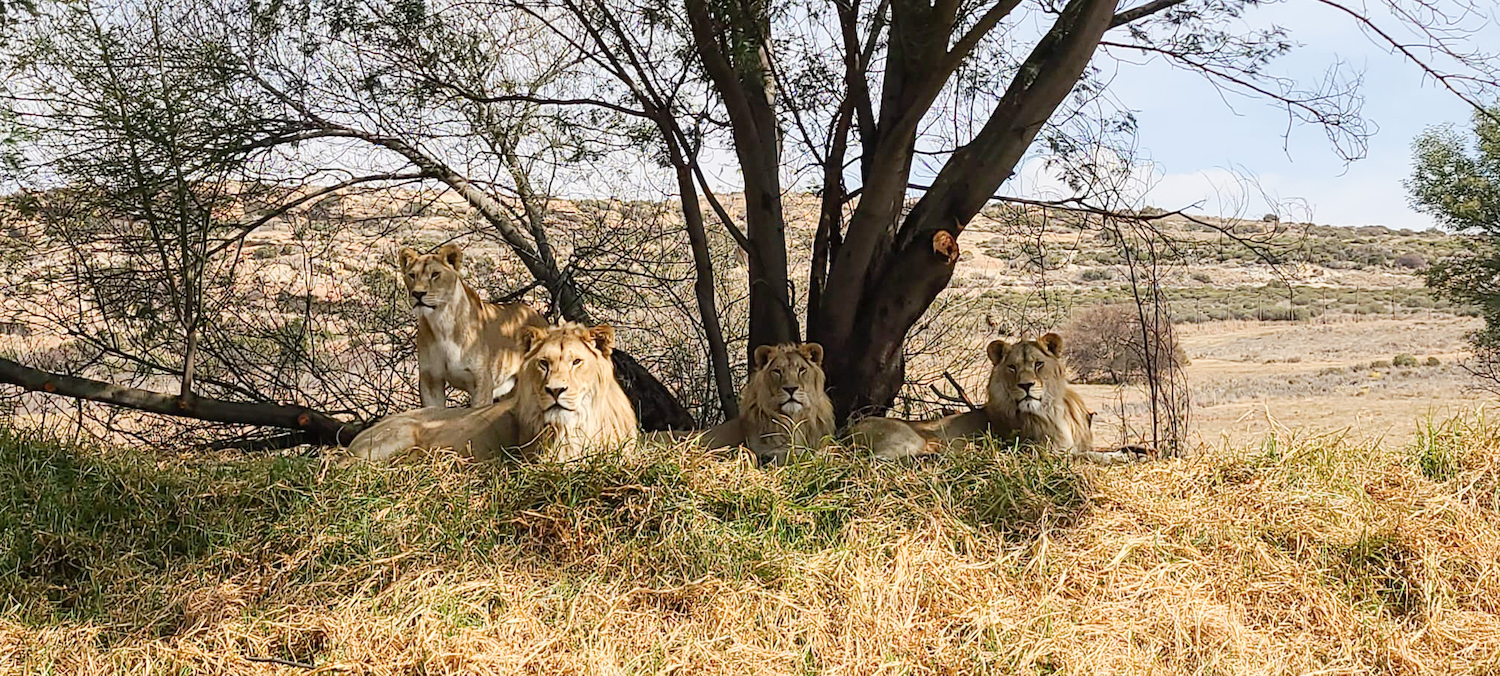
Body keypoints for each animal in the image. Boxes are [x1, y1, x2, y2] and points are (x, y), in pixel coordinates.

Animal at [400, 243, 547, 408]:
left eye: (435, 274)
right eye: (412, 275)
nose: (417, 294)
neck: (441, 323)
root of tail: (539, 316)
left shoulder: (481, 382)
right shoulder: (430, 379)